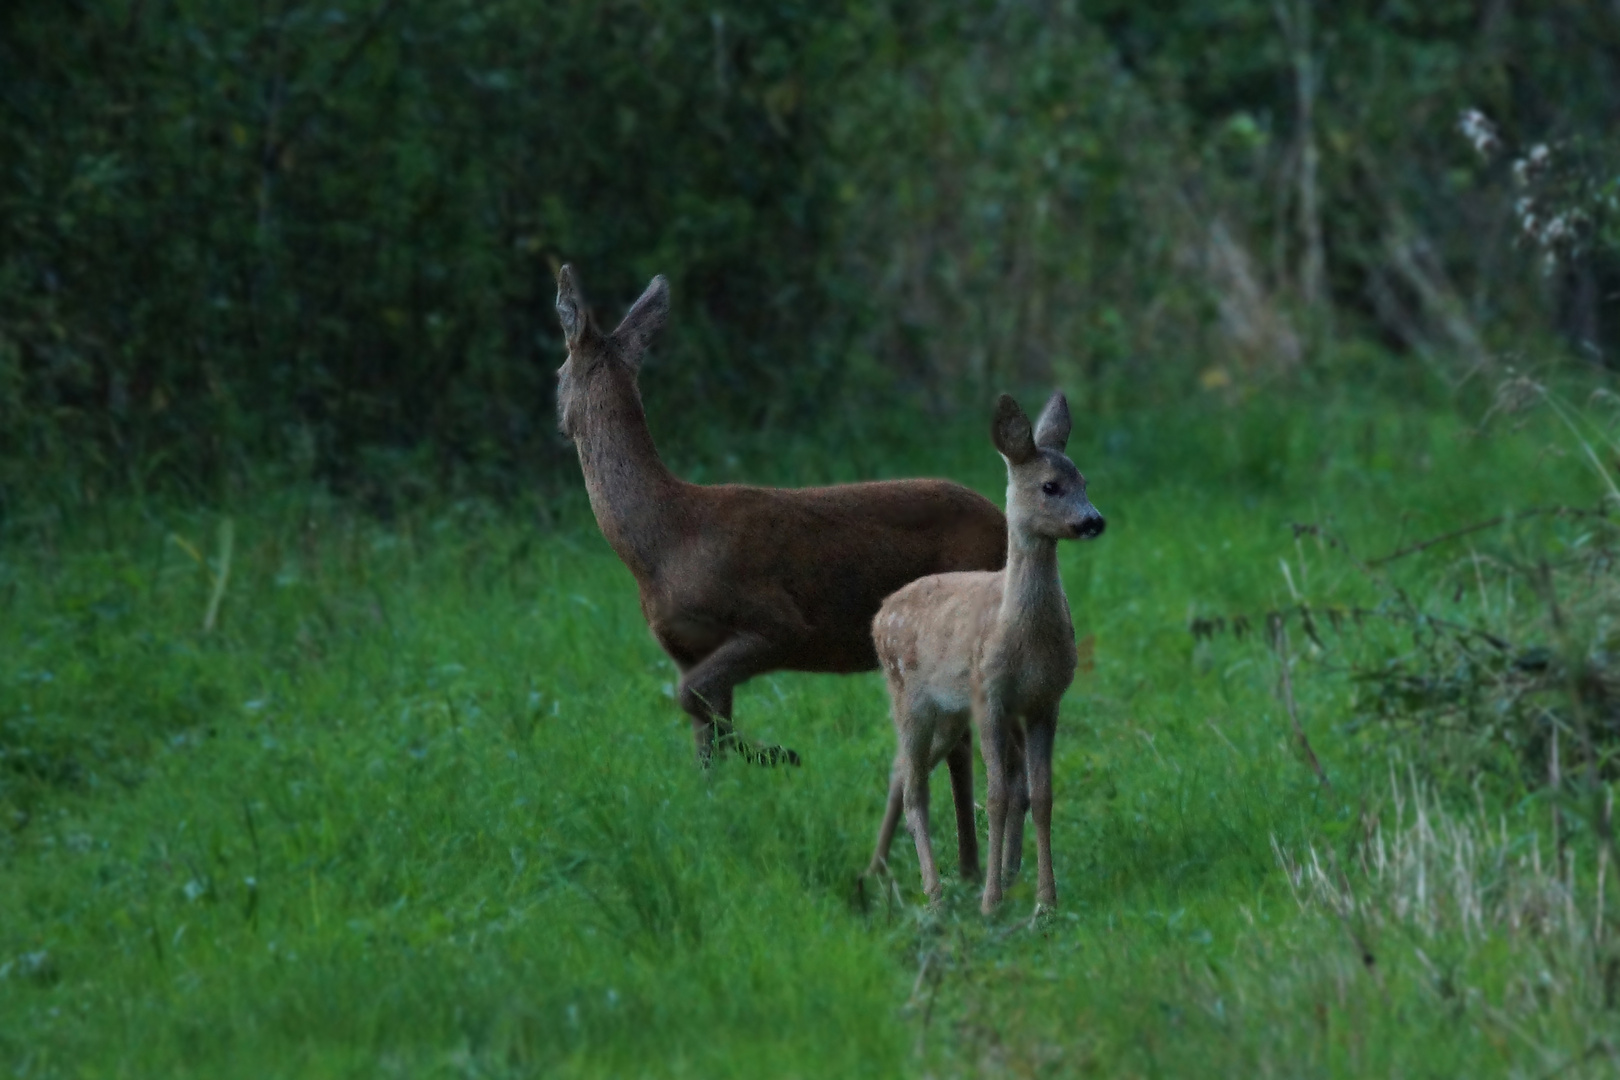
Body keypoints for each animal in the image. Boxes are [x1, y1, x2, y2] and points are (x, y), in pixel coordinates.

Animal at [557, 260, 1010, 767]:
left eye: (557, 371)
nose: (557, 422)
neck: (663, 543)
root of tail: (1005, 524)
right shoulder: (683, 645)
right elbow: (705, 733)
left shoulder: (779, 622)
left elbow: (691, 699)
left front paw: (776, 754)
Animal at [868, 388, 1108, 913]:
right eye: (1050, 486)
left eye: (1084, 480)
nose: (1094, 521)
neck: (1019, 636)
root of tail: (879, 613)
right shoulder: (989, 695)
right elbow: (997, 795)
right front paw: (991, 901)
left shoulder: (1044, 702)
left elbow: (1041, 795)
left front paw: (1045, 902)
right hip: (908, 697)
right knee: (916, 788)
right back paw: (935, 894)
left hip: (948, 711)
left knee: (902, 772)